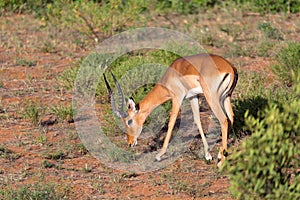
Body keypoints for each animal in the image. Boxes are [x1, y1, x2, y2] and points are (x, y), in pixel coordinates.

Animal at [104, 53, 238, 167]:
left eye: (129, 121)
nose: (130, 143)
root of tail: (230, 68)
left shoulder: (177, 98)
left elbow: (171, 122)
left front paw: (159, 155)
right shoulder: (193, 97)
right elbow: (197, 120)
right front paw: (208, 155)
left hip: (212, 98)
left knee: (224, 119)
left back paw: (221, 161)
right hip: (226, 97)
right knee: (231, 117)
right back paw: (221, 154)